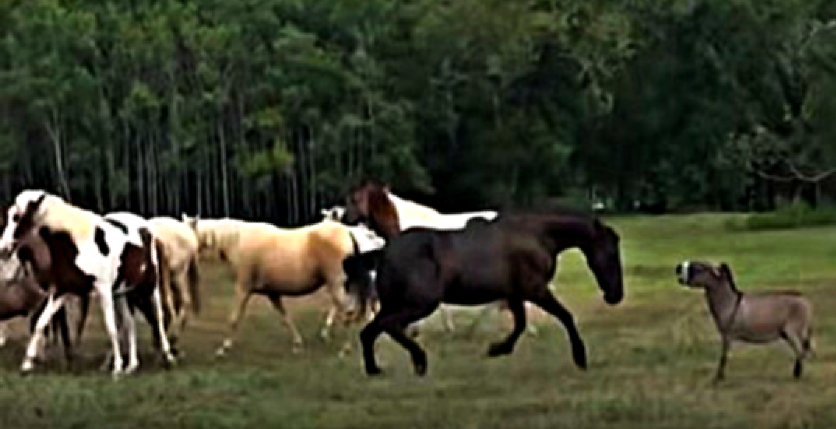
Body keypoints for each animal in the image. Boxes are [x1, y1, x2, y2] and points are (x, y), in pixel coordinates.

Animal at [0, 191, 175, 377]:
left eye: (17, 217)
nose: (3, 249)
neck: (77, 244)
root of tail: (146, 227)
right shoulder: (60, 292)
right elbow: (40, 323)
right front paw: (27, 364)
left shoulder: (103, 290)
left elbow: (110, 327)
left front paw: (117, 367)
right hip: (122, 292)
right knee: (129, 323)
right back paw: (132, 365)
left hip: (149, 286)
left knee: (158, 316)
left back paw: (168, 357)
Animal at [181, 215, 386, 357]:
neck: (237, 241)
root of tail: (348, 232)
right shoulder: (273, 293)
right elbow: (285, 317)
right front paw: (297, 343)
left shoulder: (243, 288)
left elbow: (234, 318)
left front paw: (224, 348)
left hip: (336, 284)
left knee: (348, 311)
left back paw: (344, 348)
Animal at [343, 206, 625, 376]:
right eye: (611, 254)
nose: (615, 295)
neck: (538, 236)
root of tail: (385, 251)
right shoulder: (535, 290)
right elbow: (565, 316)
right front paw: (580, 357)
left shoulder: (515, 294)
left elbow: (520, 324)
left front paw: (498, 349)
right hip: (420, 304)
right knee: (389, 327)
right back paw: (419, 360)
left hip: (395, 304)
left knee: (369, 332)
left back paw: (375, 369)